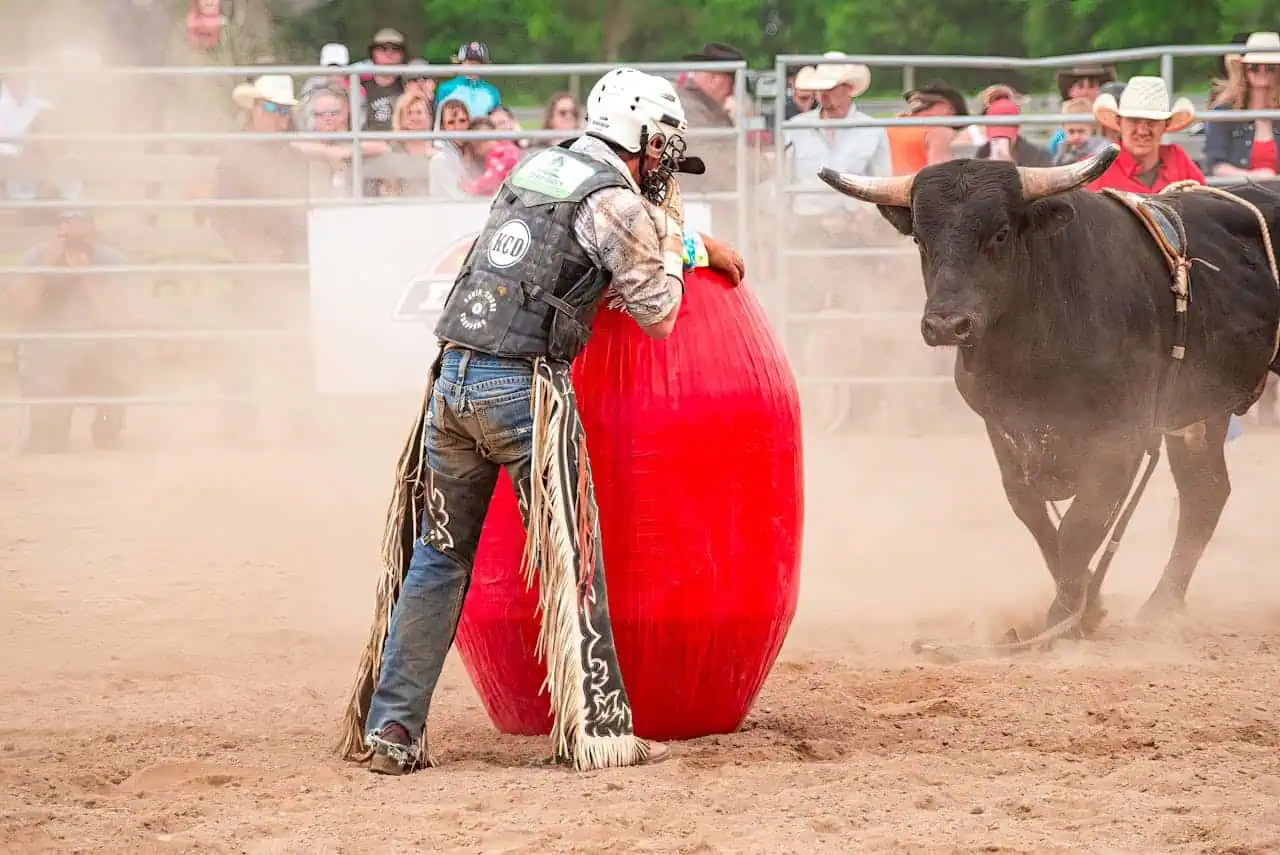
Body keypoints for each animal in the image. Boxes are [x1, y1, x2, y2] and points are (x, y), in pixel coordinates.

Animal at [819, 148, 1280, 655]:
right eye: (921, 238)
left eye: (1000, 232)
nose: (946, 324)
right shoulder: (1003, 429)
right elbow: (1036, 517)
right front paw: (1086, 607)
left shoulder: (1122, 438)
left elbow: (1081, 525)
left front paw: (1065, 618)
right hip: (1201, 411)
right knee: (1205, 493)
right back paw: (1162, 605)